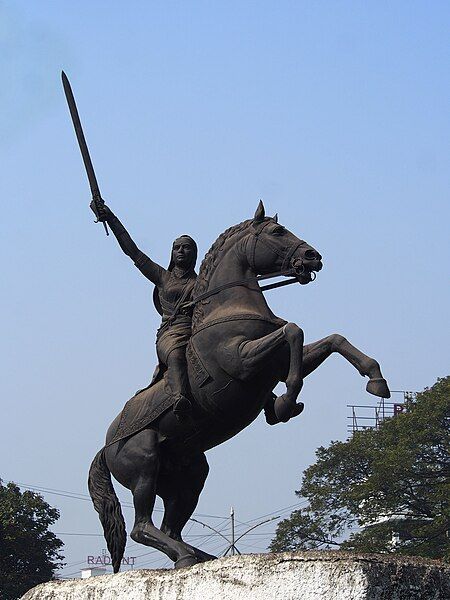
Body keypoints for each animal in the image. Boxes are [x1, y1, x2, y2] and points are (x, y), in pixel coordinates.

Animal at [88, 203, 390, 572]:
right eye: (278, 232)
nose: (313, 256)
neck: (229, 307)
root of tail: (105, 447)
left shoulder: (277, 361)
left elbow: (332, 339)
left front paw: (376, 379)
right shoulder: (242, 361)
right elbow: (293, 330)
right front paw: (286, 402)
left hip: (189, 476)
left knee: (170, 527)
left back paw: (200, 555)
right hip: (144, 466)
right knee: (141, 527)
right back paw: (187, 556)